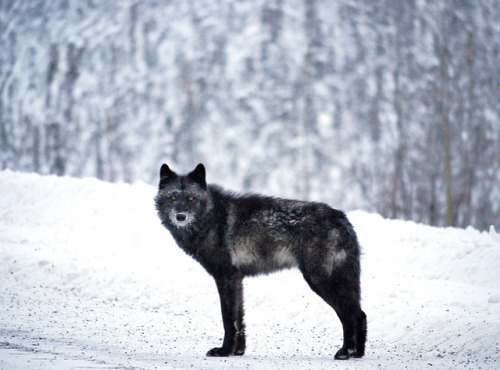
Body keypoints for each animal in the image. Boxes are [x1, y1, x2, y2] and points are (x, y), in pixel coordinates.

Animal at [155, 164, 368, 358]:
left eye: (191, 198)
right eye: (173, 197)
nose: (180, 216)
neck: (210, 217)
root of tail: (342, 218)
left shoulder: (226, 278)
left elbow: (228, 319)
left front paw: (224, 351)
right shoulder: (236, 279)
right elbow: (239, 320)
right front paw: (237, 351)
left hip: (320, 281)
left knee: (351, 314)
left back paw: (346, 352)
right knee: (360, 314)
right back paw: (357, 353)